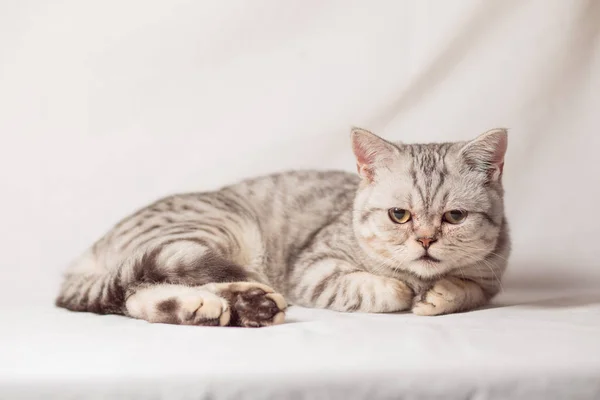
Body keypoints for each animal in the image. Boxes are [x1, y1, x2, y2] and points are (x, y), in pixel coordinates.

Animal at [55, 128, 510, 328]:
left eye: (454, 217)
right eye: (399, 215)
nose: (426, 240)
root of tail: (86, 255)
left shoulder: (491, 276)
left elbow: (468, 289)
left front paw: (440, 294)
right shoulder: (312, 269)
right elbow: (388, 288)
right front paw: (410, 290)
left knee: (135, 295)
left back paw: (218, 307)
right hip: (215, 231)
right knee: (147, 283)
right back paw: (242, 303)